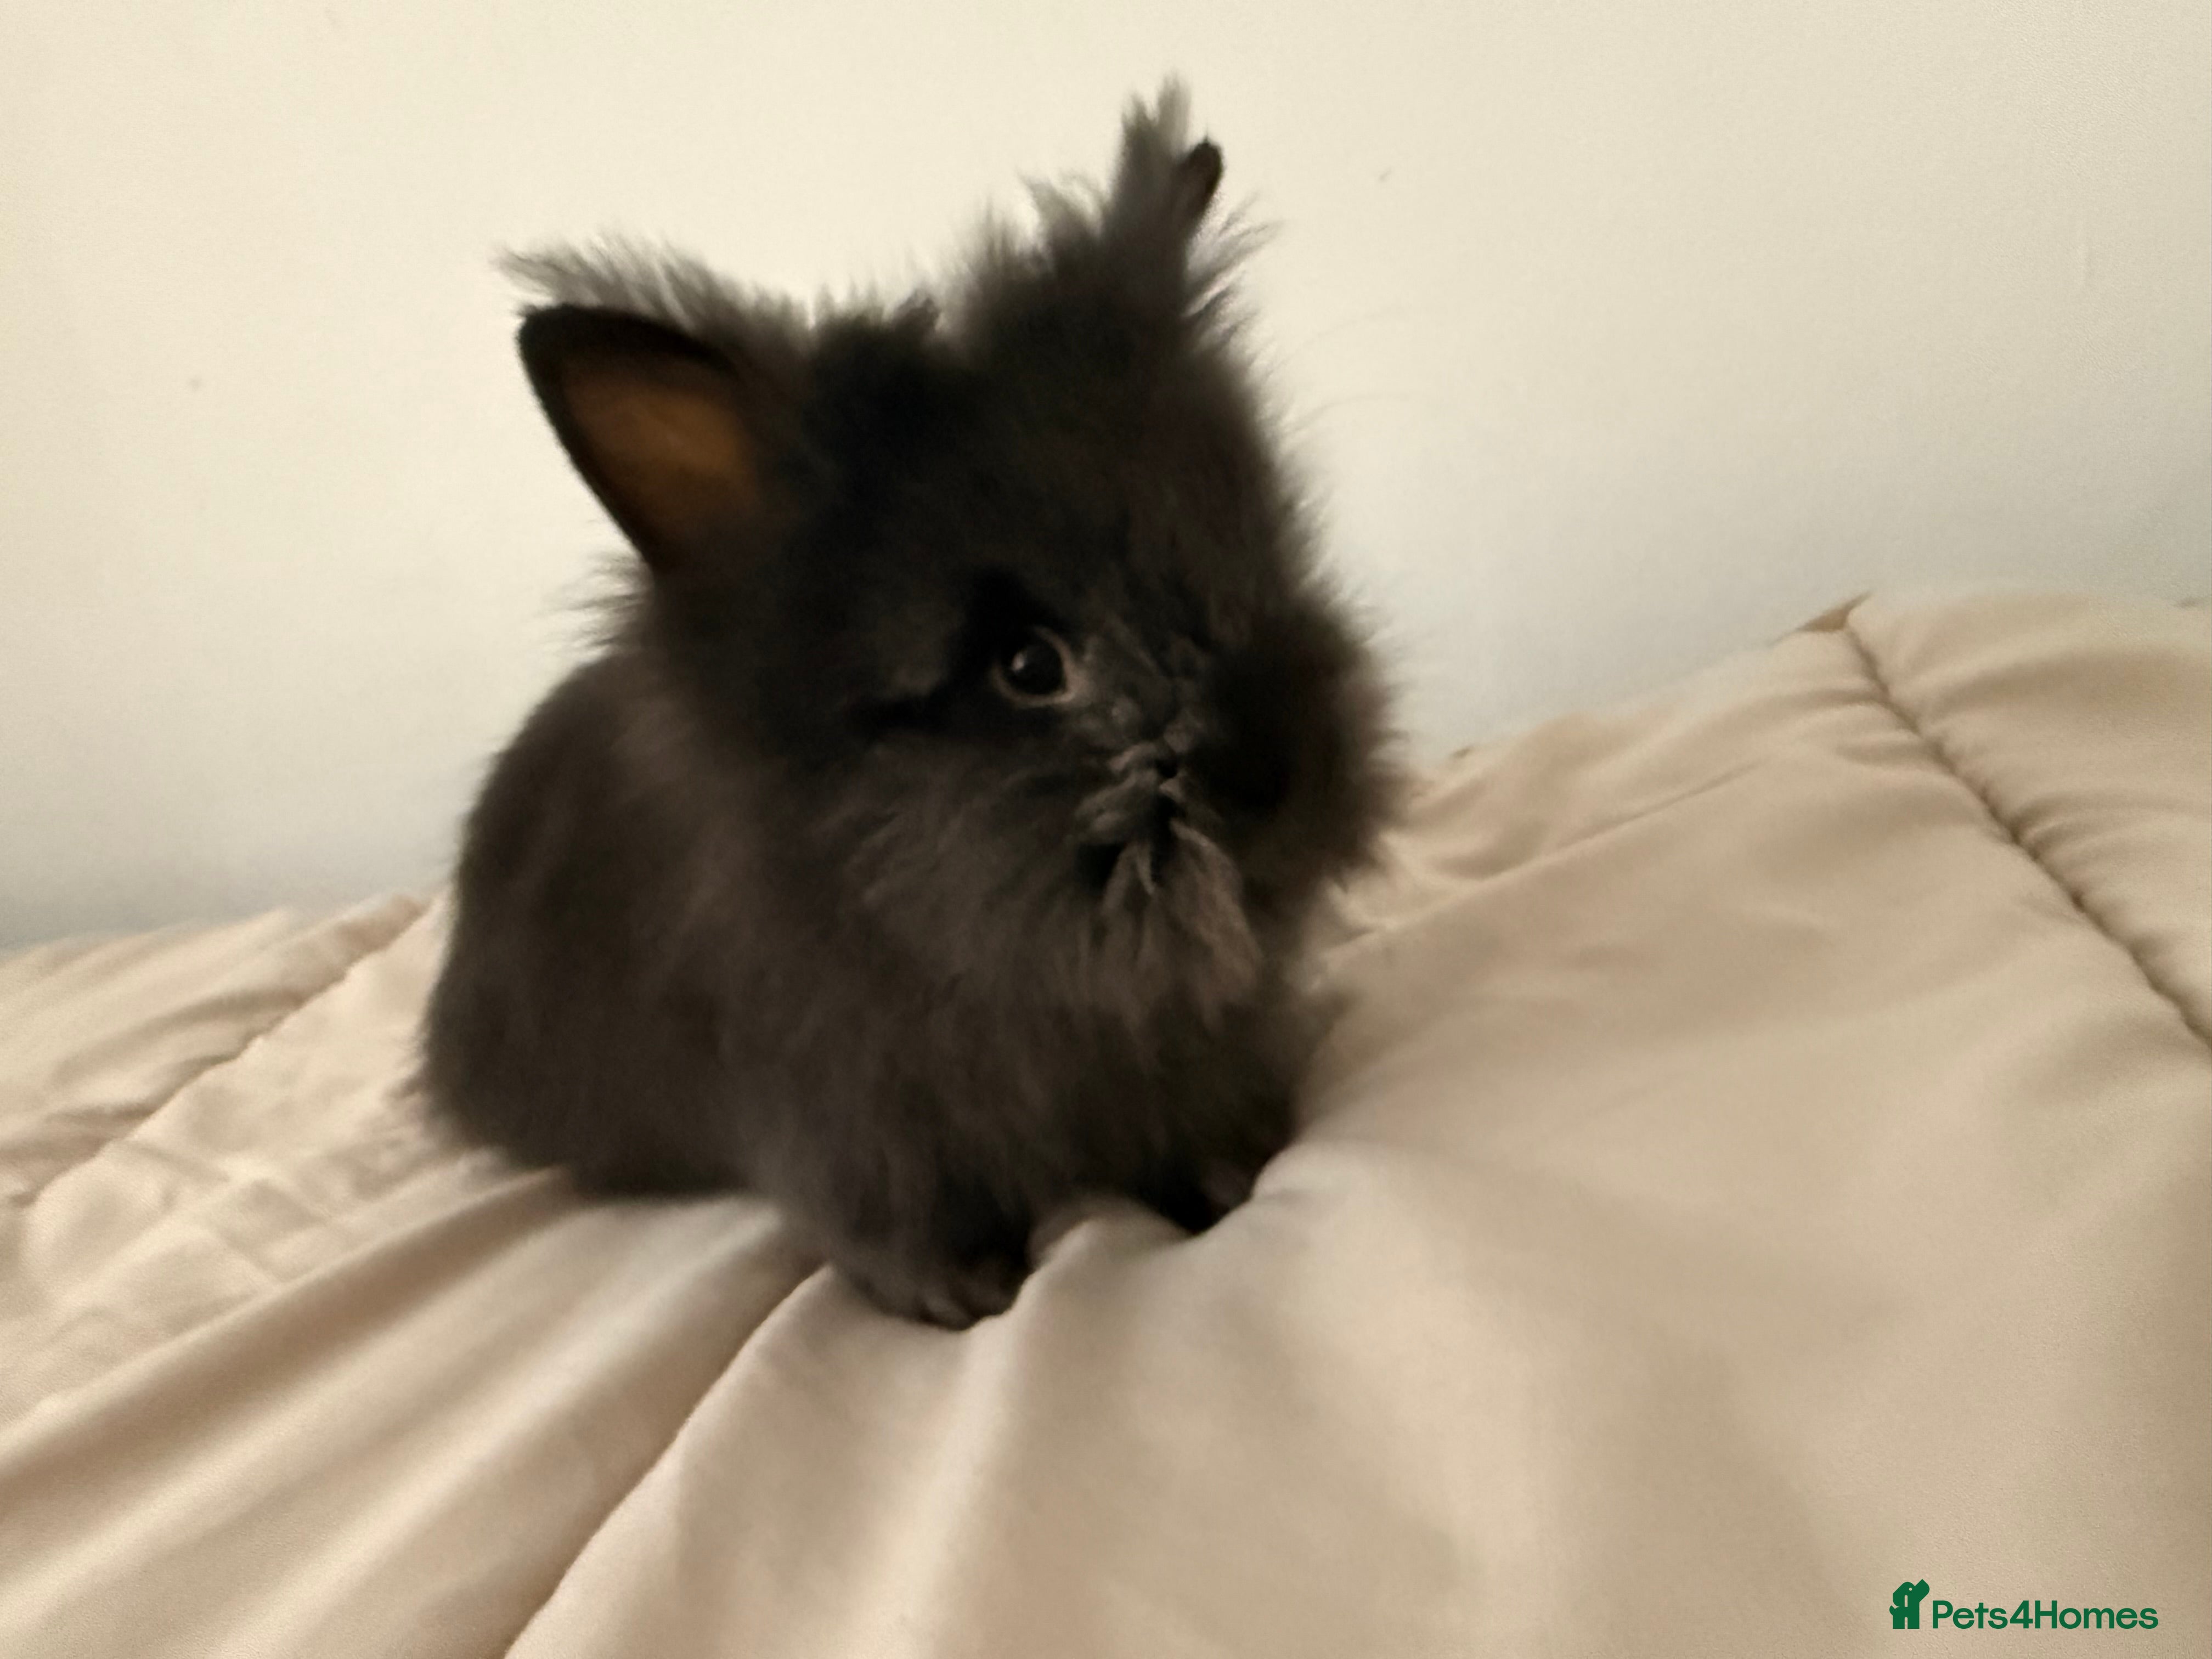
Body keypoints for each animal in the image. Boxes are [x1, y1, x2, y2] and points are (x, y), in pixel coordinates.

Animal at [422, 82, 1395, 1326]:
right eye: (1028, 666)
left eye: (1264, 554)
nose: (1280, 773)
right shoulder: (846, 1125)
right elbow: (896, 1226)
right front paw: (967, 1293)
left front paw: (1232, 1175)